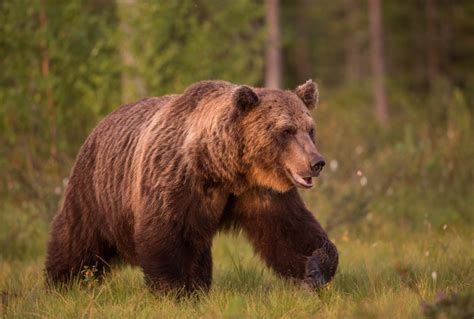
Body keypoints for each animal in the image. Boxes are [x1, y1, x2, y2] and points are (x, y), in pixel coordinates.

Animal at [45, 79, 336, 296]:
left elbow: (290, 232)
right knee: (77, 238)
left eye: (309, 129)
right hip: (96, 188)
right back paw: (62, 284)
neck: (225, 168)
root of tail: (100, 123)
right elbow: (165, 234)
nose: (316, 162)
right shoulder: (178, 179)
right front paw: (176, 291)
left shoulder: (261, 192)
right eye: (286, 131)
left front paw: (315, 270)